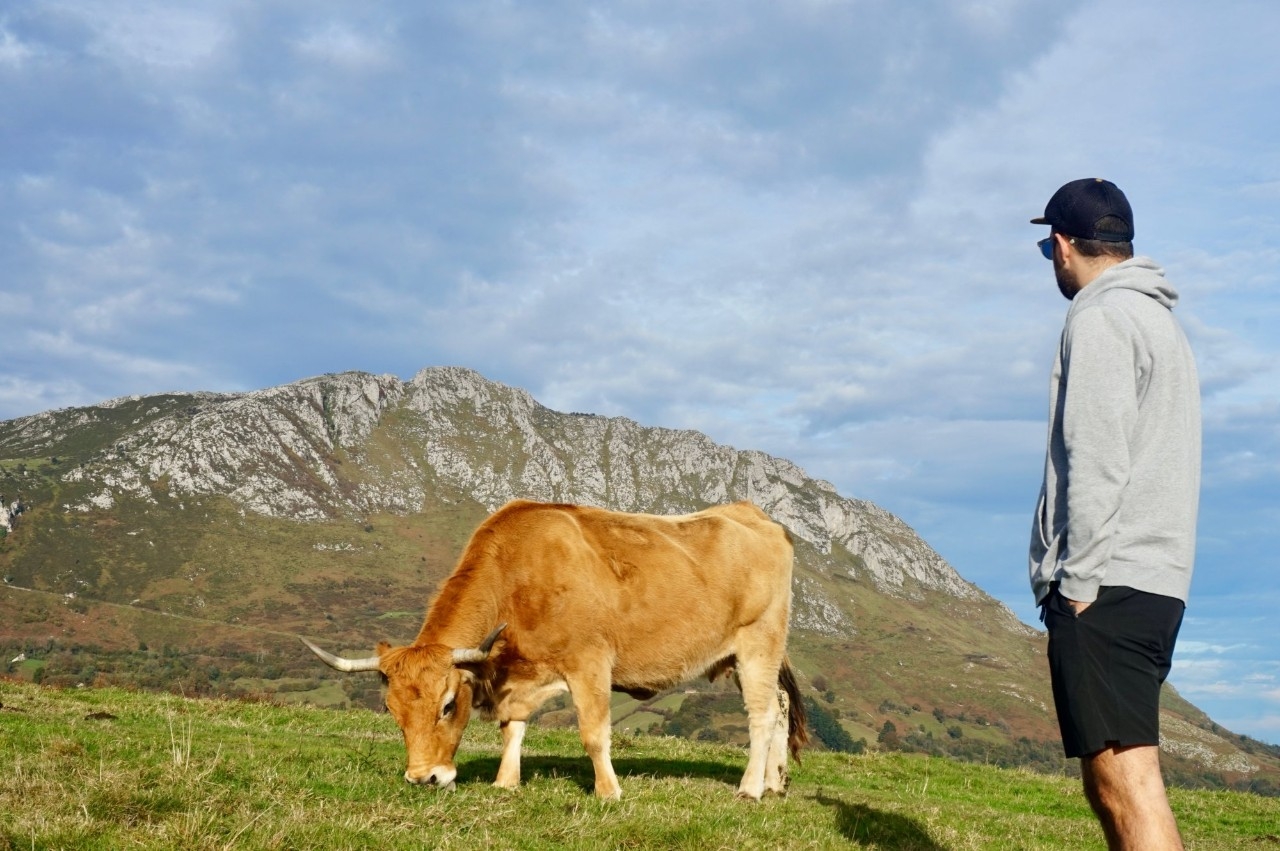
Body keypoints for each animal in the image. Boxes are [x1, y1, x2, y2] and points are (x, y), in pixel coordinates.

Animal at [302, 499, 808, 800]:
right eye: (391, 711)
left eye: (447, 705)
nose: (423, 777)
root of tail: (752, 512)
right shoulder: (519, 678)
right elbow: (512, 728)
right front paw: (505, 782)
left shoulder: (589, 663)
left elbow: (593, 733)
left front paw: (608, 792)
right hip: (740, 656)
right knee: (781, 706)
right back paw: (776, 782)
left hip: (758, 643)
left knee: (762, 715)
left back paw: (750, 789)